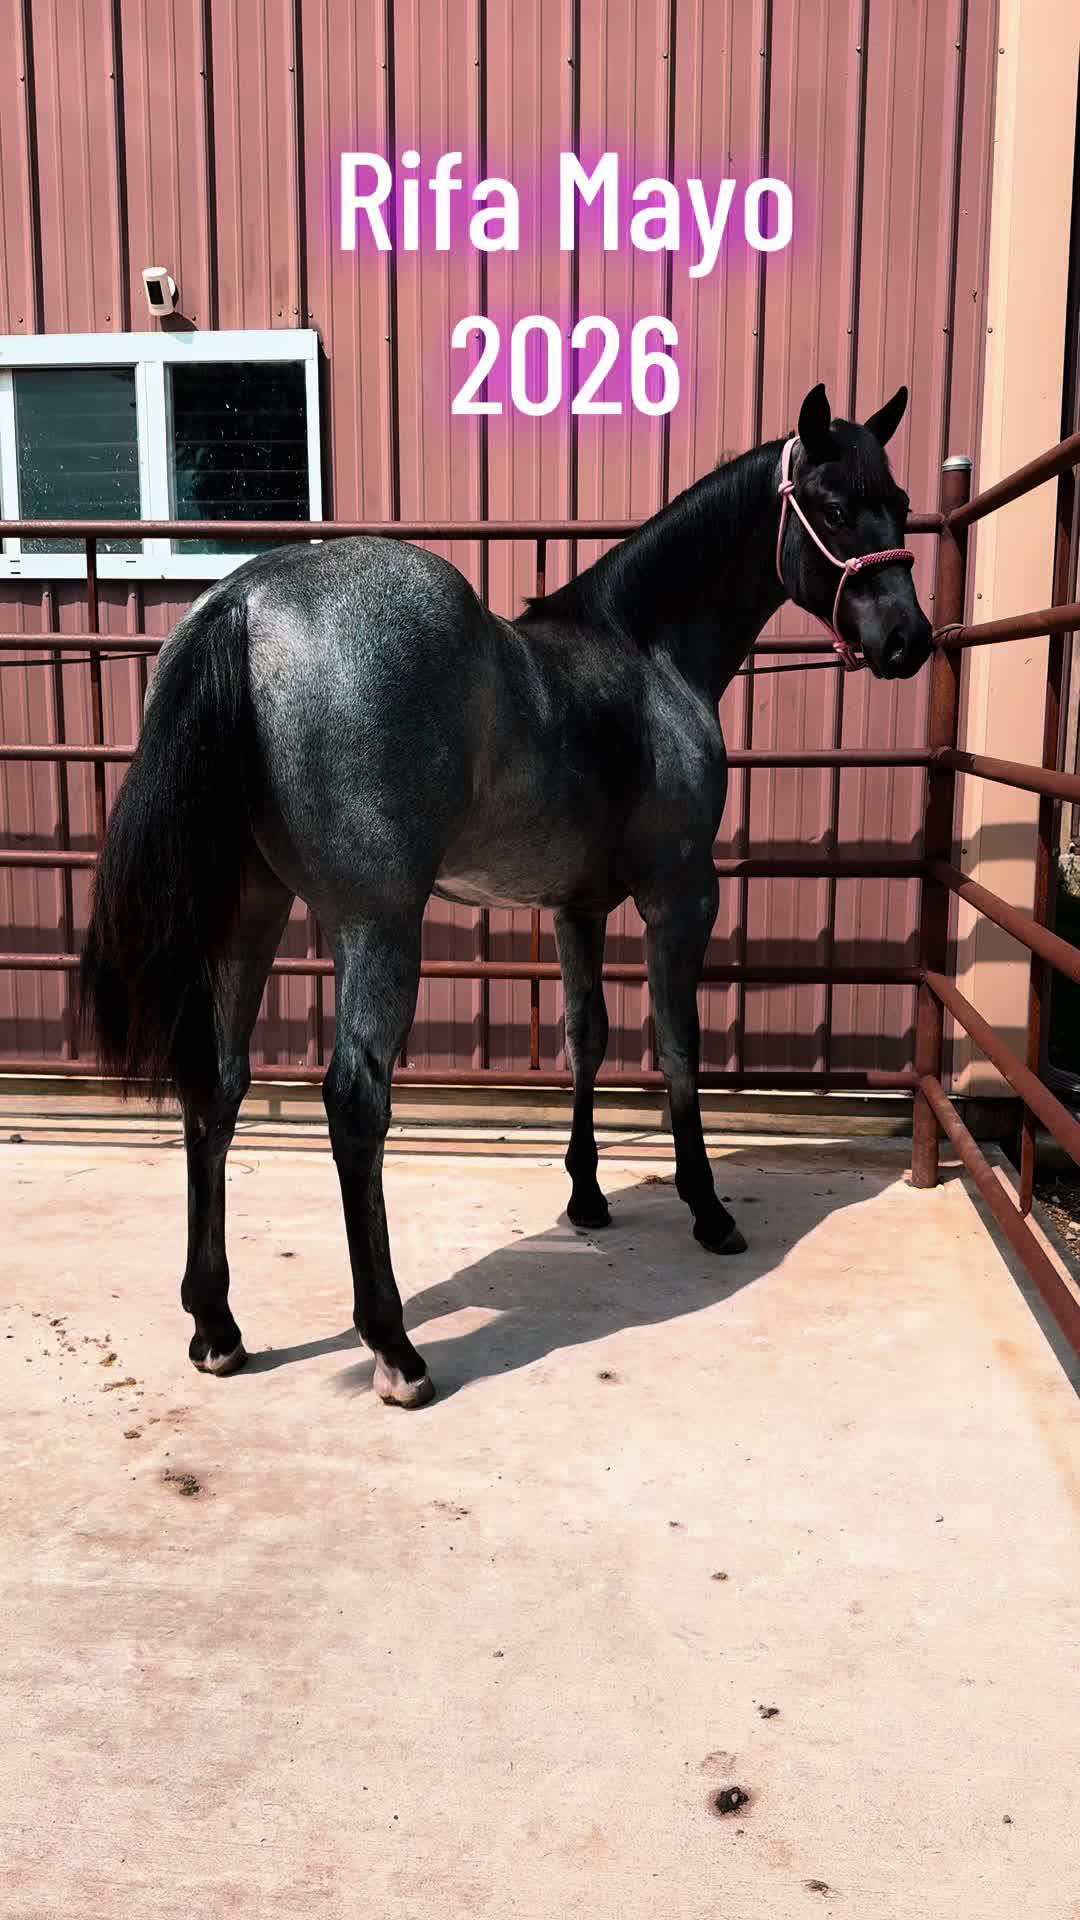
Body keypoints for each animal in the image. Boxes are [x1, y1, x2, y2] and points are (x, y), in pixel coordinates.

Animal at [80, 381, 931, 1408]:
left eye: (900, 501)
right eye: (837, 508)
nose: (909, 640)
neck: (645, 650)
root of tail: (243, 602)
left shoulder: (577, 907)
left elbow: (585, 1037)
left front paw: (587, 1195)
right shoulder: (680, 896)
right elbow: (677, 1044)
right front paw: (707, 1207)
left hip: (250, 916)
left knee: (219, 1081)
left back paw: (216, 1324)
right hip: (377, 926)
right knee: (355, 1102)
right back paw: (394, 1347)